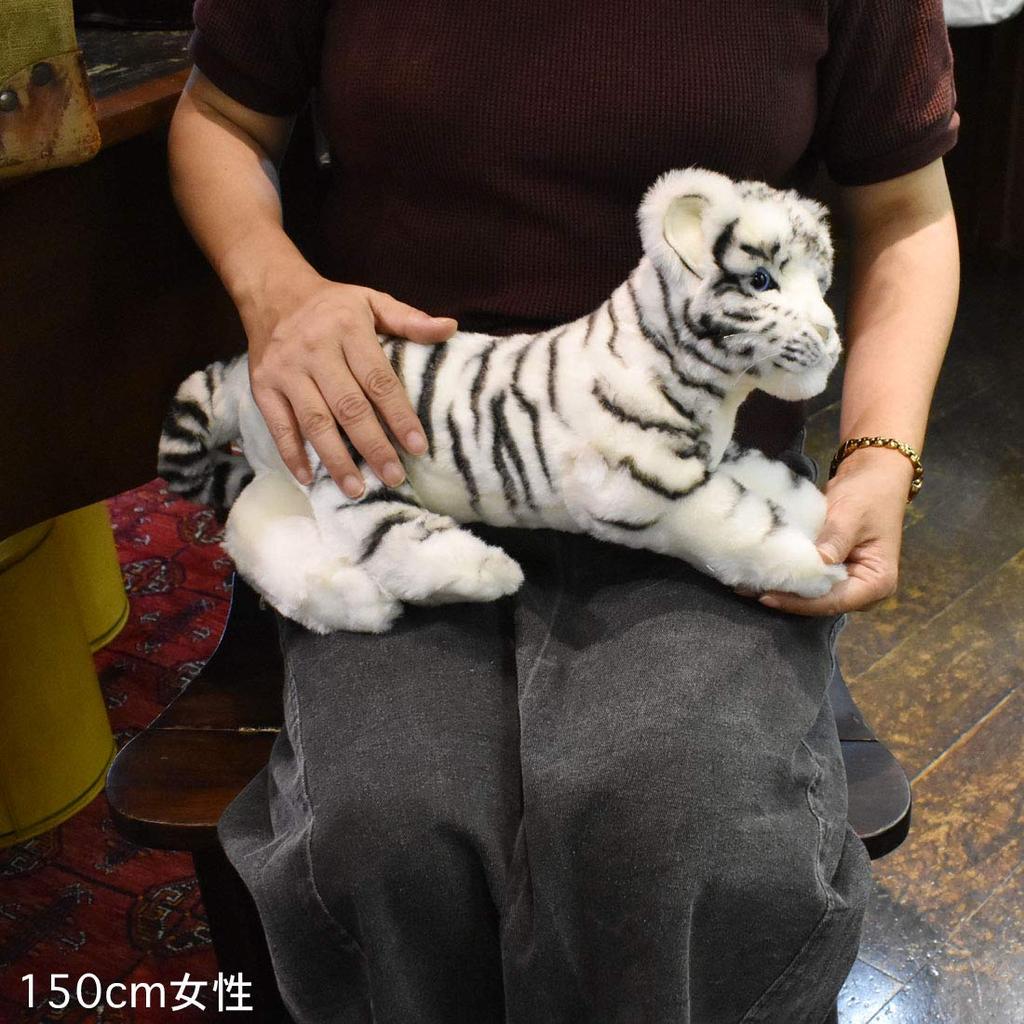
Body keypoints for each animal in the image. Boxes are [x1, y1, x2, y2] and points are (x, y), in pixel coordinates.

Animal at [158, 167, 846, 634]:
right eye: (763, 280)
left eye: (820, 282)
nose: (830, 337)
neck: (709, 388)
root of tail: (247, 371)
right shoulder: (641, 489)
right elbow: (742, 527)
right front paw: (815, 569)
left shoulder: (713, 455)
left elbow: (769, 482)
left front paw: (816, 513)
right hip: (351, 456)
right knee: (377, 528)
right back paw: (469, 576)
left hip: (281, 479)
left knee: (255, 527)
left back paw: (348, 596)